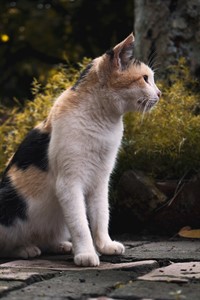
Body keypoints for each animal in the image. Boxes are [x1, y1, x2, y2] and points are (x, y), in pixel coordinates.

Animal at [0, 33, 161, 268]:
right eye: (145, 79)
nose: (160, 93)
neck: (104, 122)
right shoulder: (69, 182)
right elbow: (80, 224)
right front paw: (86, 254)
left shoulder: (101, 180)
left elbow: (101, 216)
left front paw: (105, 245)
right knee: (8, 245)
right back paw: (26, 249)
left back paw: (59, 245)